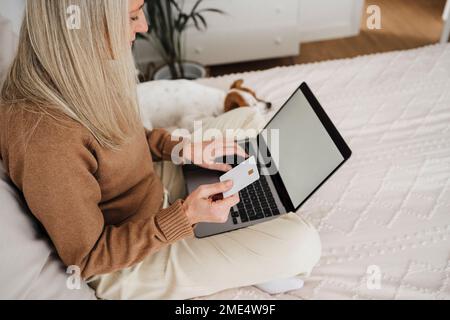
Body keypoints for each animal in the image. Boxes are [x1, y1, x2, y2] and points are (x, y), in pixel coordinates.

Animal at [137, 78, 270, 131]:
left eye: (256, 95)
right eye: (253, 104)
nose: (269, 104)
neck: (219, 101)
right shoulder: (187, 120)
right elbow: (210, 118)